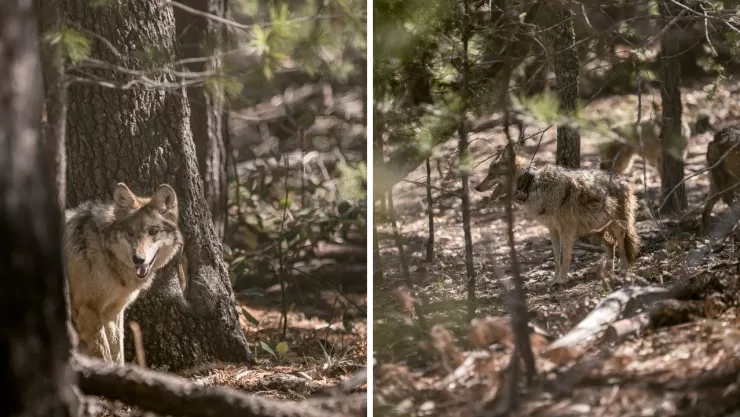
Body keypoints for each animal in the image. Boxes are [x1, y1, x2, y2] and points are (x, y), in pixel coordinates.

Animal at [64, 183, 184, 363]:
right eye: (130, 232)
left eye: (153, 231)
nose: (138, 259)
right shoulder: (88, 310)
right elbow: (104, 354)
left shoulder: (113, 313)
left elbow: (117, 354)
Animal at [475, 143, 640, 286]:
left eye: (491, 175)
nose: (476, 188)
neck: (532, 185)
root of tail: (623, 181)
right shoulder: (553, 229)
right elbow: (556, 257)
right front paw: (553, 279)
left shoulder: (566, 230)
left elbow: (564, 256)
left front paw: (562, 280)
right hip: (595, 229)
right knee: (611, 244)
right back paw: (609, 271)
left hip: (615, 226)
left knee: (622, 242)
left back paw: (624, 268)